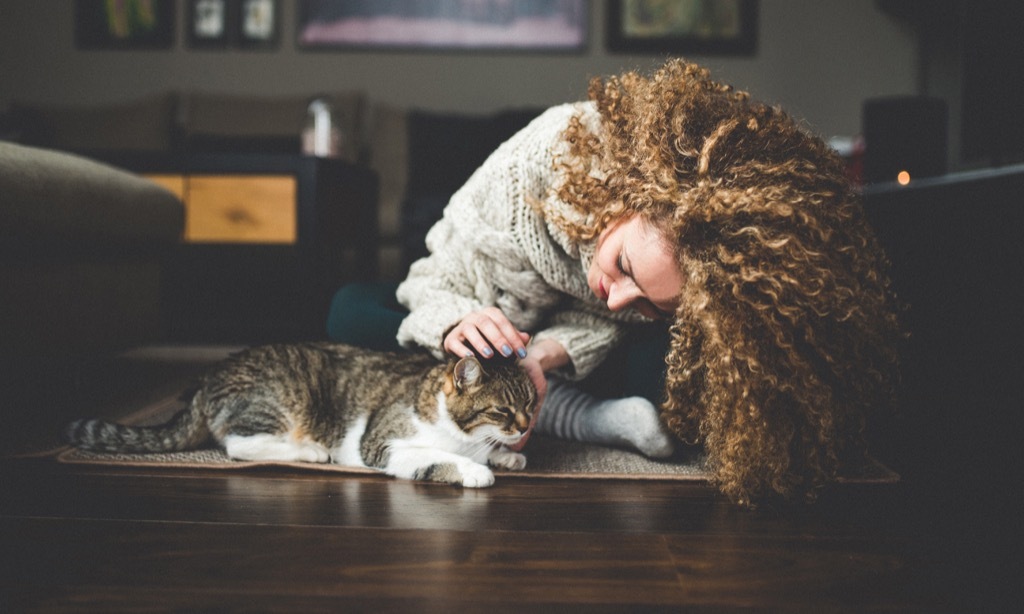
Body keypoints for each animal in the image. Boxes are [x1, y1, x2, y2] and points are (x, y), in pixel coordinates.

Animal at [66, 343, 536, 487]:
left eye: (530, 403)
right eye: (501, 409)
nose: (526, 426)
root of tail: (209, 377)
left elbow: (491, 450)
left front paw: (507, 455)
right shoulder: (381, 445)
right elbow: (437, 458)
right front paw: (475, 471)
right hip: (284, 398)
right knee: (238, 444)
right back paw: (309, 452)